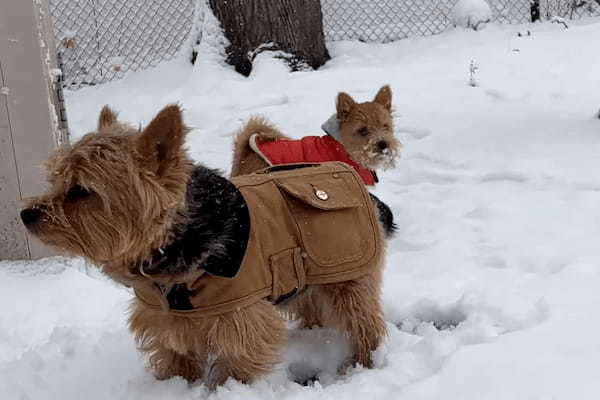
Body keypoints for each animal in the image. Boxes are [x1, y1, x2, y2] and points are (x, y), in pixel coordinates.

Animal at [19, 104, 390, 390]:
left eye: (81, 191)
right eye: (55, 180)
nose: (26, 214)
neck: (170, 245)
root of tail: (345, 170)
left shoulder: (241, 319)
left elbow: (238, 363)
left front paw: (222, 390)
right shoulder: (166, 319)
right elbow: (176, 357)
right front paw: (174, 386)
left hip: (348, 277)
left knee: (364, 321)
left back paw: (362, 362)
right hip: (307, 278)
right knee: (312, 305)